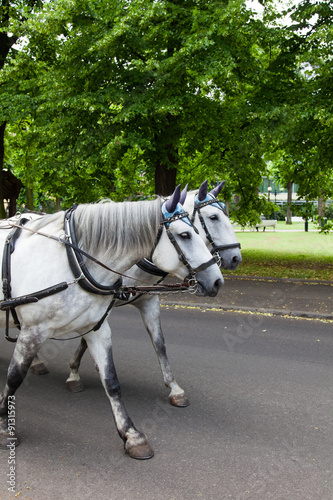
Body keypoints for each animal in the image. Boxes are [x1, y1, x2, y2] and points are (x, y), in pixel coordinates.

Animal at [0, 186, 223, 458]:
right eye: (185, 234)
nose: (217, 280)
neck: (74, 261)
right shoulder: (33, 331)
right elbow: (14, 377)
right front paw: (4, 426)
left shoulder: (102, 324)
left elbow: (114, 379)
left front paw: (132, 434)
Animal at [65, 180, 240, 406]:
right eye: (214, 217)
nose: (236, 258)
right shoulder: (102, 304)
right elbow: (86, 339)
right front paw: (74, 372)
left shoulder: (147, 301)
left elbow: (159, 343)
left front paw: (174, 388)